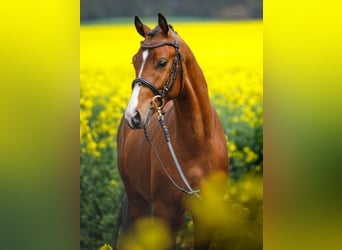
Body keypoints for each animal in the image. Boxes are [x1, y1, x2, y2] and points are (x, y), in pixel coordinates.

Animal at [116, 14, 228, 250]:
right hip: (137, 198)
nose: (133, 115)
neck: (198, 143)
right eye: (134, 61)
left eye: (161, 62)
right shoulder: (165, 212)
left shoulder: (206, 215)